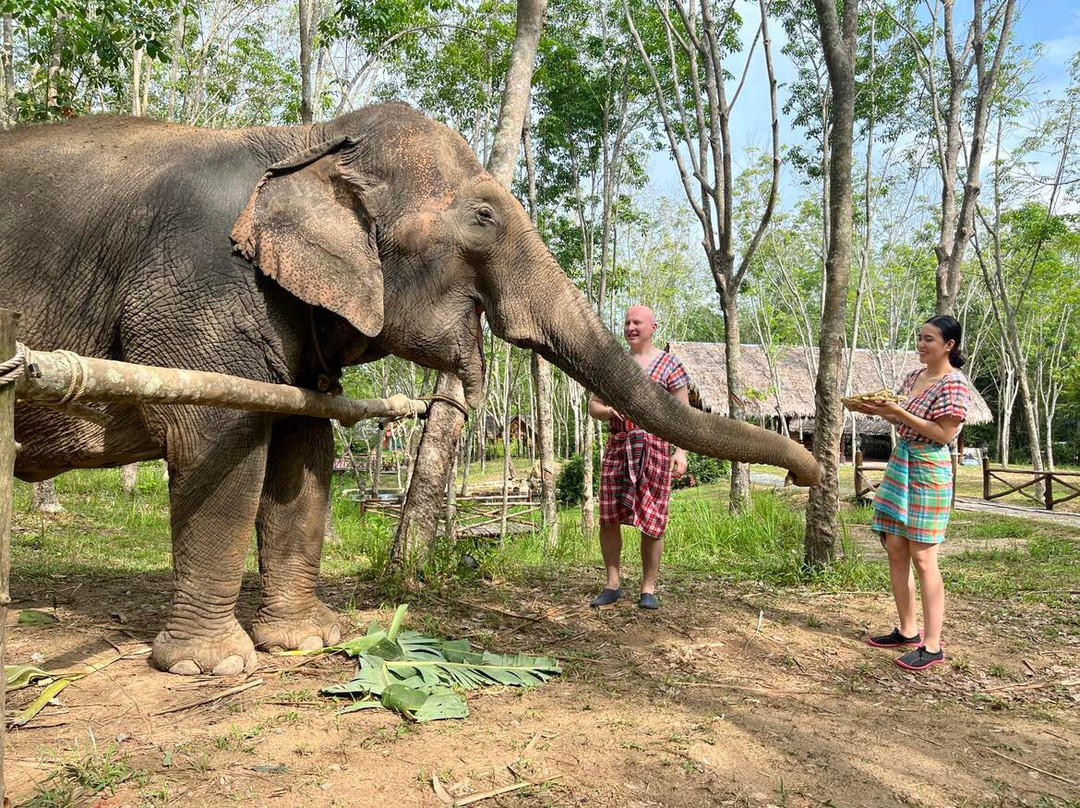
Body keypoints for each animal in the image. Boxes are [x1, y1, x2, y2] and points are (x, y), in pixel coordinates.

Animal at [0, 105, 820, 674]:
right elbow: (219, 436)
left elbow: (304, 445)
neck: (300, 138)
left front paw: (314, 638)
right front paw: (215, 664)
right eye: (484, 217)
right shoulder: (197, 284)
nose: (811, 470)